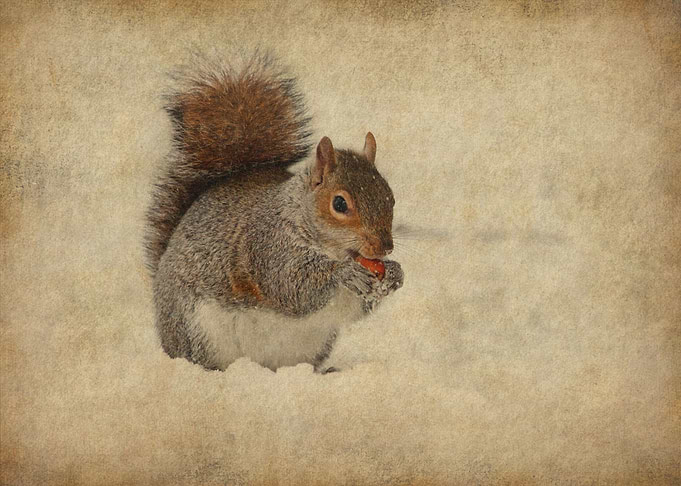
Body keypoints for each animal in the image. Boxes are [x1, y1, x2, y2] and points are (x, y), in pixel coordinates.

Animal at [145, 53, 404, 373]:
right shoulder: (268, 245)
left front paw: (395, 273)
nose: (384, 248)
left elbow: (357, 308)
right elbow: (291, 284)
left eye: (391, 197)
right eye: (340, 204)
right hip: (198, 331)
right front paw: (345, 273)